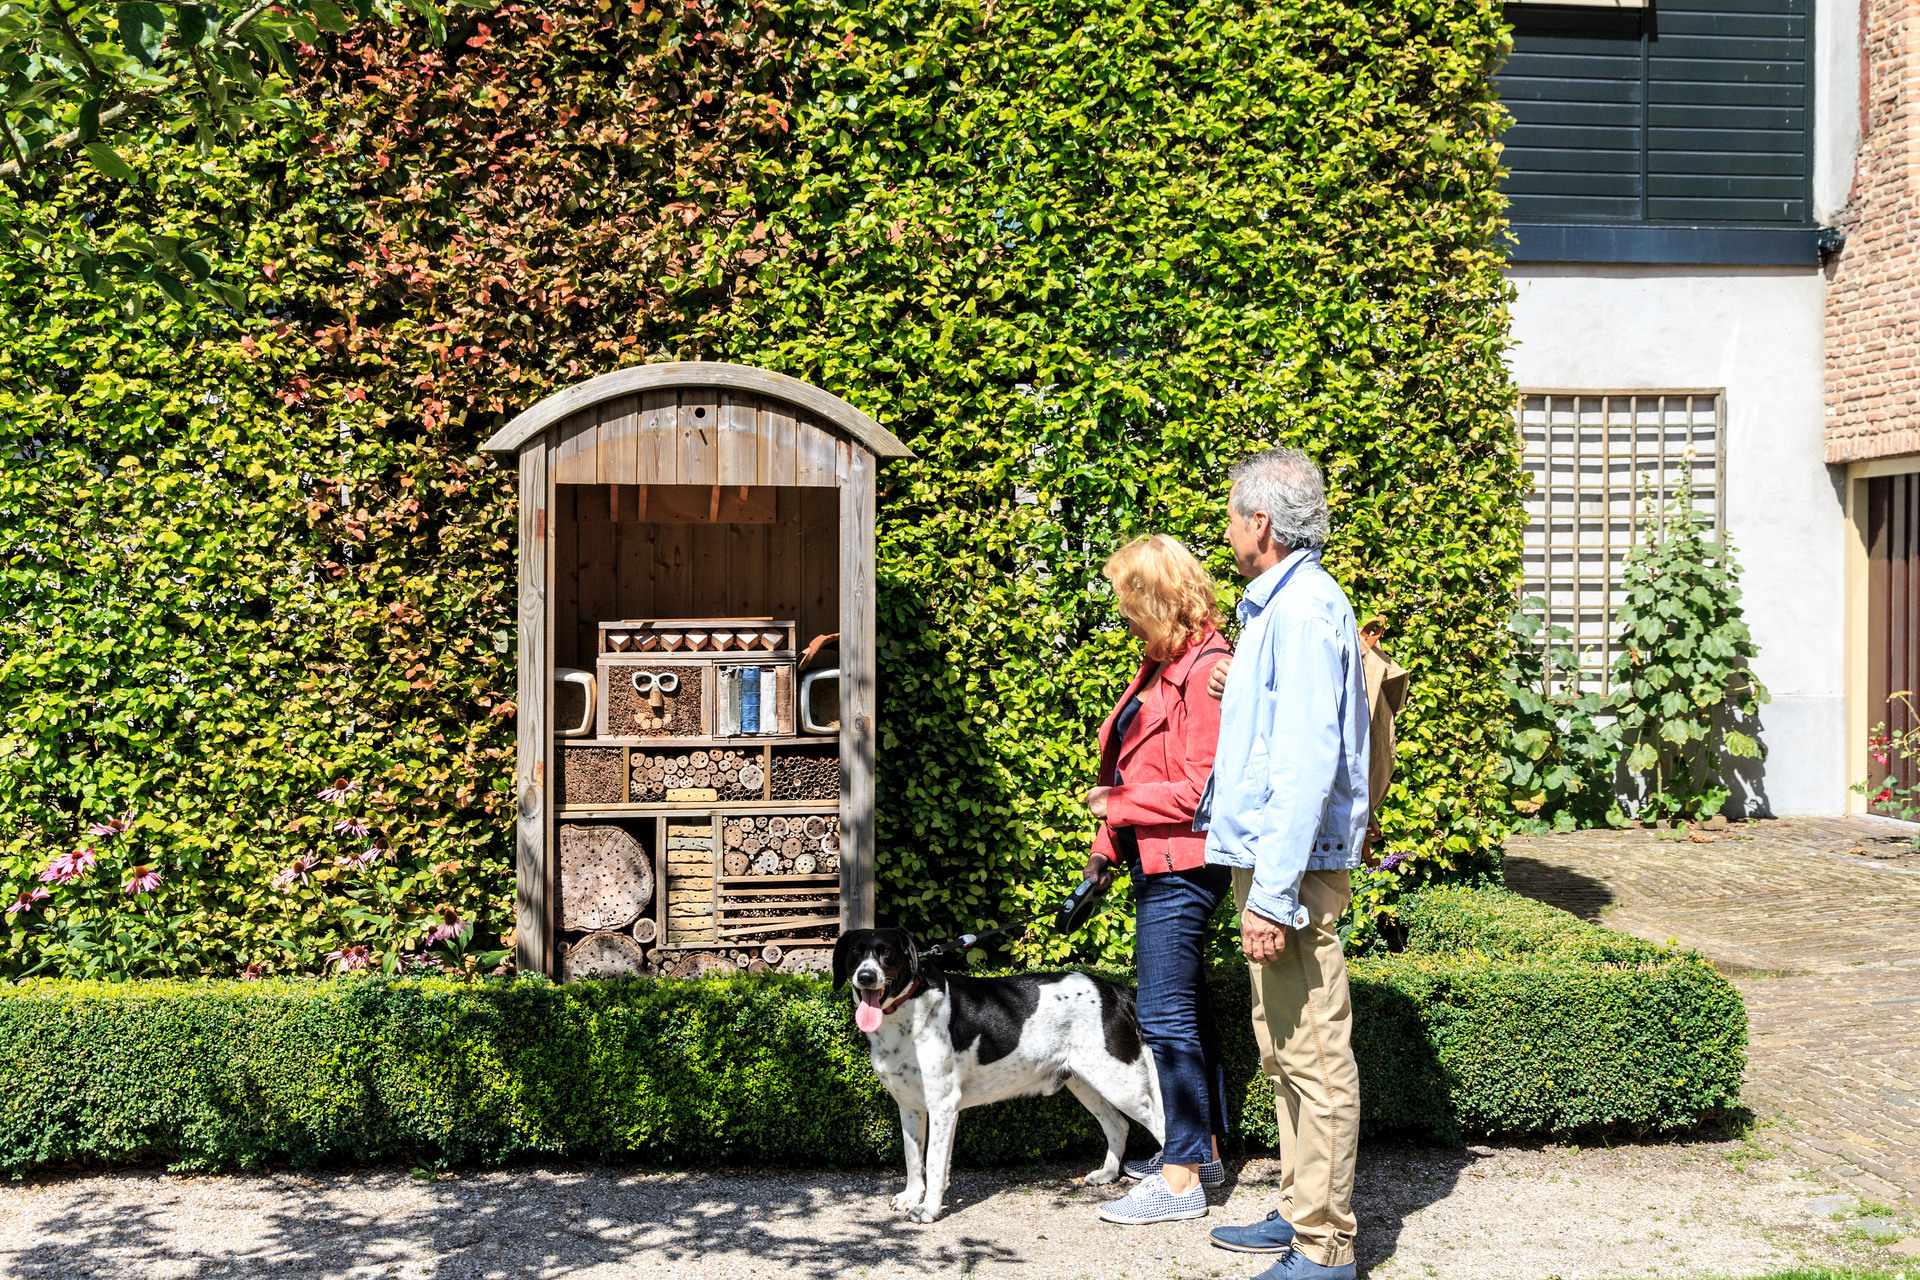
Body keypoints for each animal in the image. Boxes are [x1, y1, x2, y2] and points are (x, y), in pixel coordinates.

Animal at [833, 932, 1159, 1220]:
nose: (866, 976)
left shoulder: (943, 1107)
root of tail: (1115, 990)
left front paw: (928, 1209)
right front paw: (912, 1197)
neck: (908, 1012)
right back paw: (1107, 1174)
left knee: (1161, 1124)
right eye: (855, 952)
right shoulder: (909, 1105)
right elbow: (913, 1159)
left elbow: (934, 1164)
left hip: (1121, 1084)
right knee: (1118, 1126)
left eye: (887, 952)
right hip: (1086, 1082)